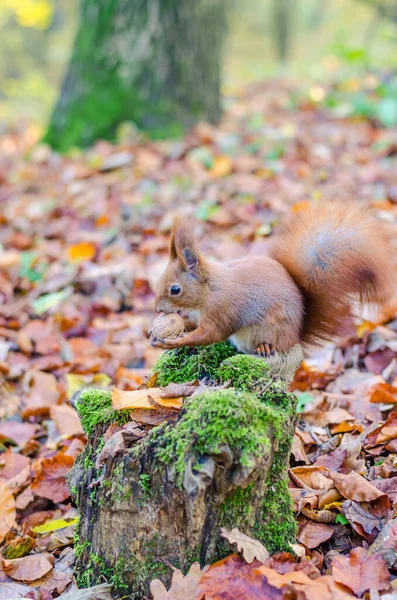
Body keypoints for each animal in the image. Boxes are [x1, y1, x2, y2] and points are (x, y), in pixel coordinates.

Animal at [151, 204, 392, 354]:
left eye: (175, 289)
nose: (157, 309)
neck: (209, 290)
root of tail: (295, 335)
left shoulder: (222, 309)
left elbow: (212, 334)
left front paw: (174, 342)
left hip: (274, 328)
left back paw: (265, 348)